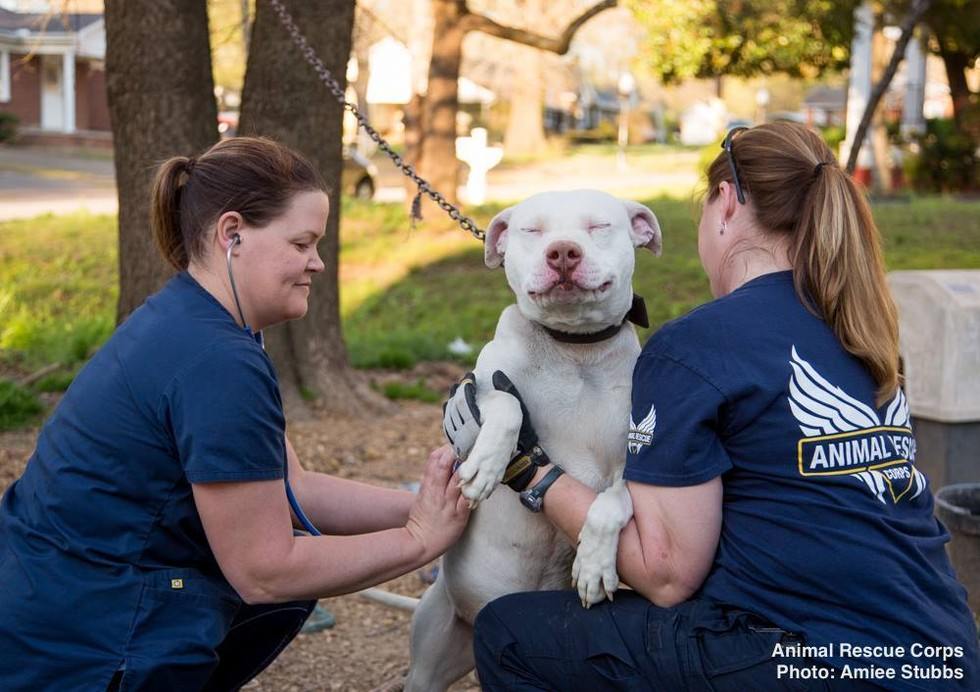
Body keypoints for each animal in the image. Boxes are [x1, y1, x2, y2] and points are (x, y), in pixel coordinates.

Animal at [402, 191, 664, 692]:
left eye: (598, 226)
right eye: (533, 231)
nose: (562, 251)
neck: (574, 350)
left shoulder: (633, 464)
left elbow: (614, 502)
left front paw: (594, 564)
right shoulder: (480, 387)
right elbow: (506, 405)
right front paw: (487, 465)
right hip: (430, 657)